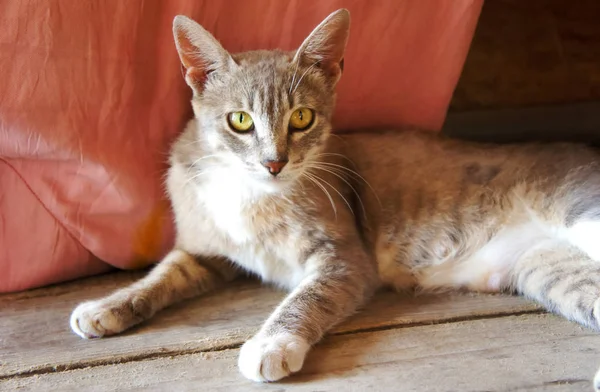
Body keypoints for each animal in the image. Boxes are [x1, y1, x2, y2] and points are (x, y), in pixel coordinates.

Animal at [71, 8, 600, 382]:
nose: (274, 162)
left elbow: (311, 295)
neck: (252, 194)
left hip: (578, 211)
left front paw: (271, 345)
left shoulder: (346, 256)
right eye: (239, 120)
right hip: (550, 268)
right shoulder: (206, 248)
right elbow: (164, 273)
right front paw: (106, 307)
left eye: (302, 117)